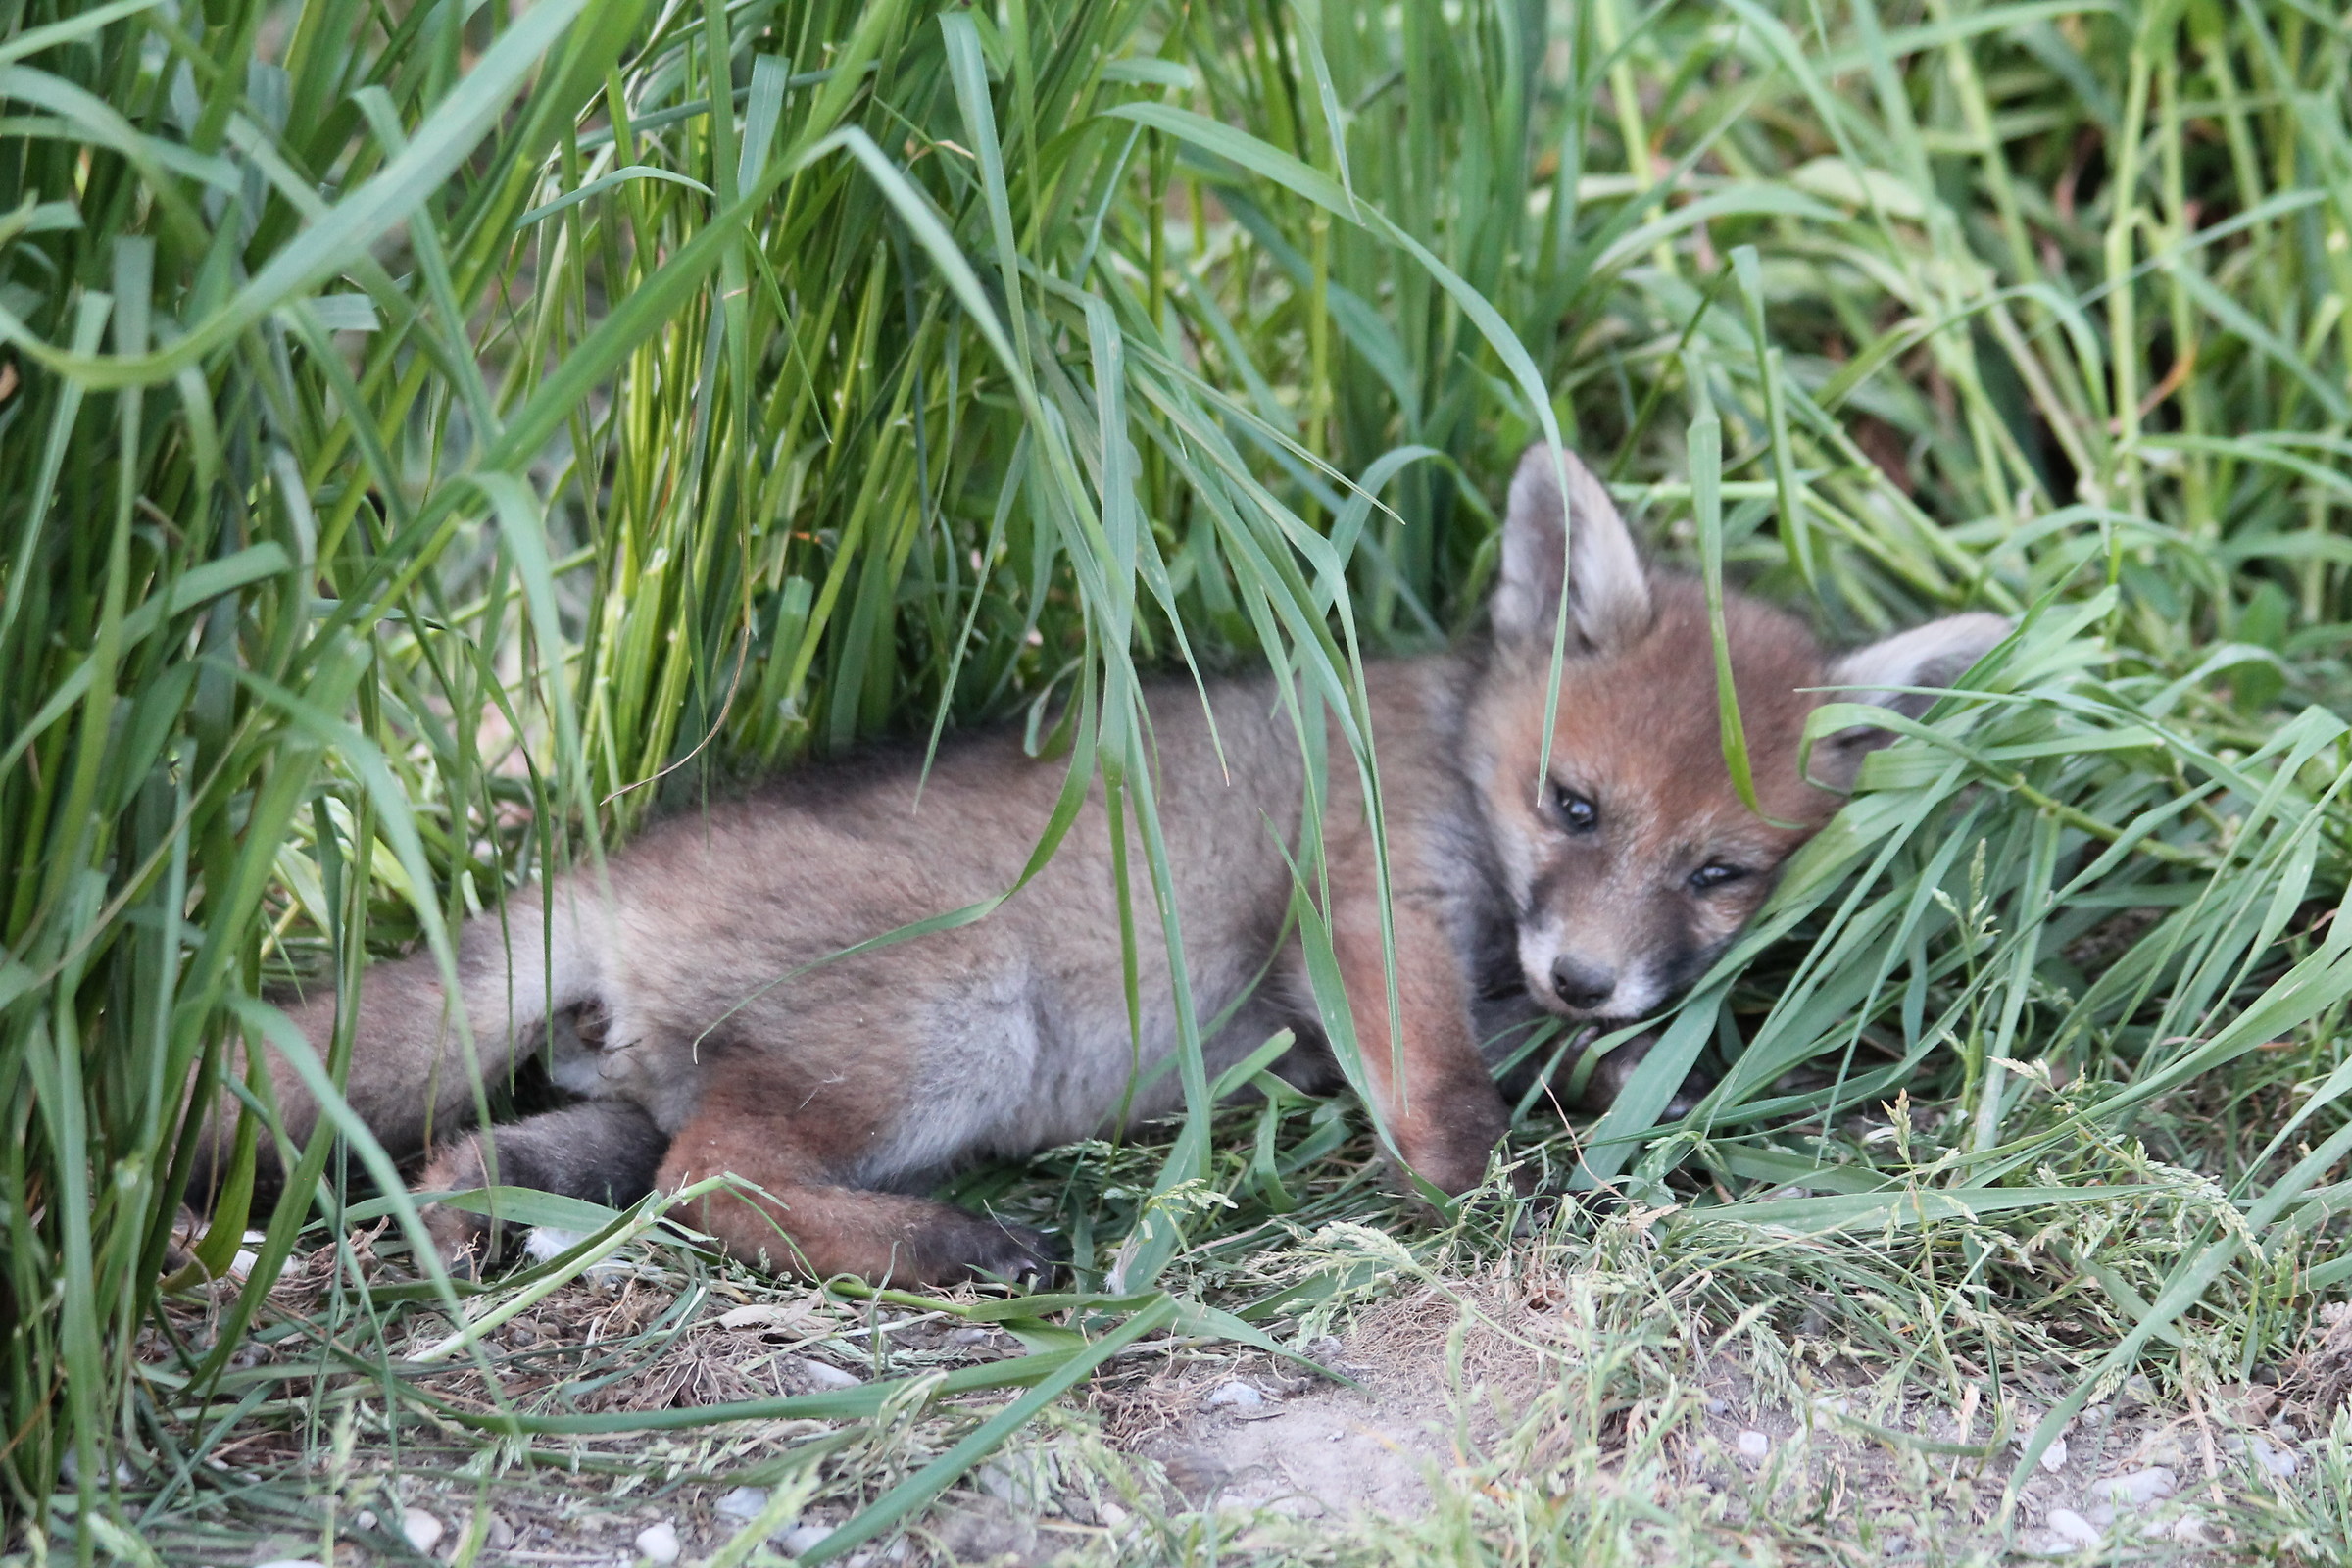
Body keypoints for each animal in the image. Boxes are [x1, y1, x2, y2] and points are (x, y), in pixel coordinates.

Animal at [201, 444, 2006, 1287]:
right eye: (1572, 807)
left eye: (1721, 874)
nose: (1584, 975)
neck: (1448, 752)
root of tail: (624, 866)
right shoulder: (1370, 904)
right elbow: (1444, 1098)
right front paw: (1485, 1194)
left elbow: (1572, 1067)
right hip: (951, 1030)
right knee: (714, 1185)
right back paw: (955, 1254)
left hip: (636, 1097)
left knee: (536, 1160)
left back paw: (466, 1231)